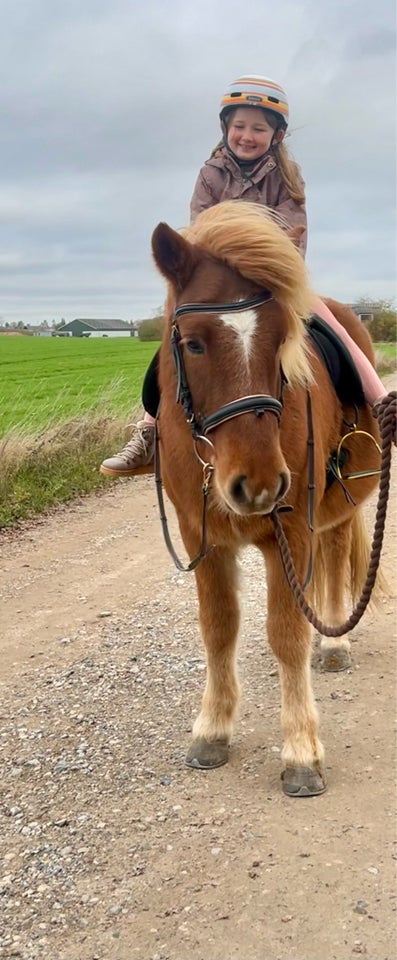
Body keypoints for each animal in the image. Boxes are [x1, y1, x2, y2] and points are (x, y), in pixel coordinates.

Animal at [150, 201, 378, 796]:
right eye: (193, 342)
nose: (256, 484)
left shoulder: (290, 532)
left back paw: (333, 644)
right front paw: (212, 728)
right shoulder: (201, 538)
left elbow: (287, 633)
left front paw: (300, 751)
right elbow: (218, 627)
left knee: (334, 559)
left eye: (282, 339)